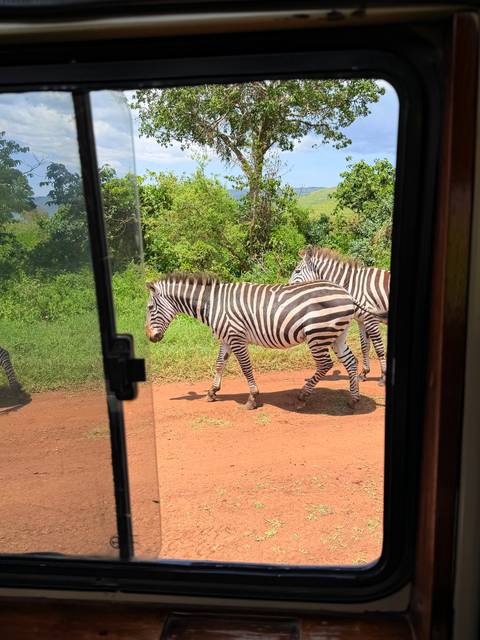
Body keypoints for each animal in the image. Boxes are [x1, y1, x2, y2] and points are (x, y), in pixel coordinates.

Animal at [145, 273, 361, 410]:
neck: (212, 304)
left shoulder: (236, 336)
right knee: (351, 361)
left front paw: (252, 398)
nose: (150, 337)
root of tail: (347, 293)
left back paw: (303, 396)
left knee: (325, 364)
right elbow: (219, 364)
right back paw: (354, 399)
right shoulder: (226, 338)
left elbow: (246, 367)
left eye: (149, 307)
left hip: (317, 333)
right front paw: (212, 392)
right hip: (337, 335)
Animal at [290, 246, 389, 384]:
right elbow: (365, 346)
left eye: (297, 271)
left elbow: (379, 348)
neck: (352, 284)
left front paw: (383, 377)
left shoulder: (371, 319)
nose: (288, 287)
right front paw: (363, 373)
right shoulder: (361, 320)